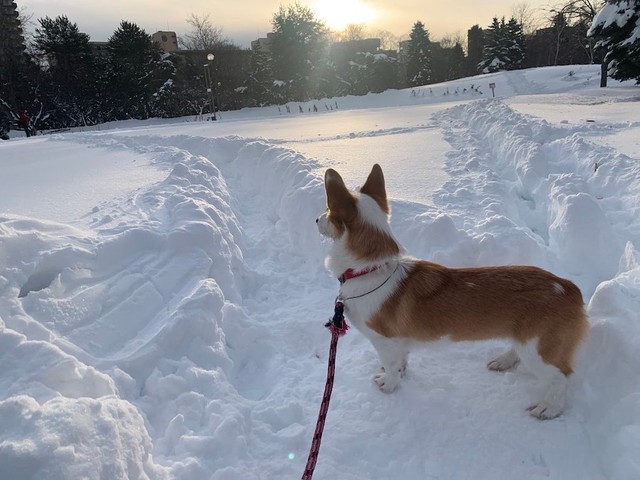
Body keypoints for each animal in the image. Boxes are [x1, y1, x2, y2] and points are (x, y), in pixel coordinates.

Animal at [318, 165, 588, 420]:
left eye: (328, 211)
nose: (317, 220)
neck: (371, 269)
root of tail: (568, 287)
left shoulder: (384, 341)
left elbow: (392, 366)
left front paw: (389, 384)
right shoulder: (398, 343)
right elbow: (401, 361)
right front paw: (400, 373)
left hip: (538, 350)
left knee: (562, 377)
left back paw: (549, 408)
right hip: (524, 340)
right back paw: (504, 360)